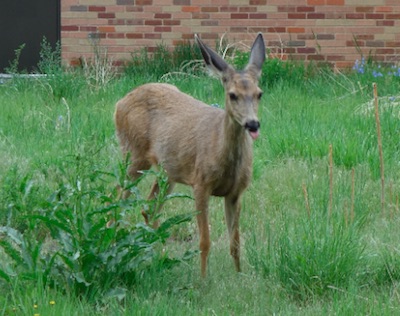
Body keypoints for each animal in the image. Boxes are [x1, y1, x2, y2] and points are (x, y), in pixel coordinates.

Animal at [114, 33, 266, 276]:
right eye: (232, 95)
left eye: (259, 94)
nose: (252, 124)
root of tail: (119, 103)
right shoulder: (200, 183)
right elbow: (205, 241)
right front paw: (203, 280)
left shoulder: (236, 192)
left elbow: (235, 242)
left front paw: (239, 274)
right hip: (133, 154)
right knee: (118, 198)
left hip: (168, 171)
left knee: (150, 207)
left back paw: (155, 255)